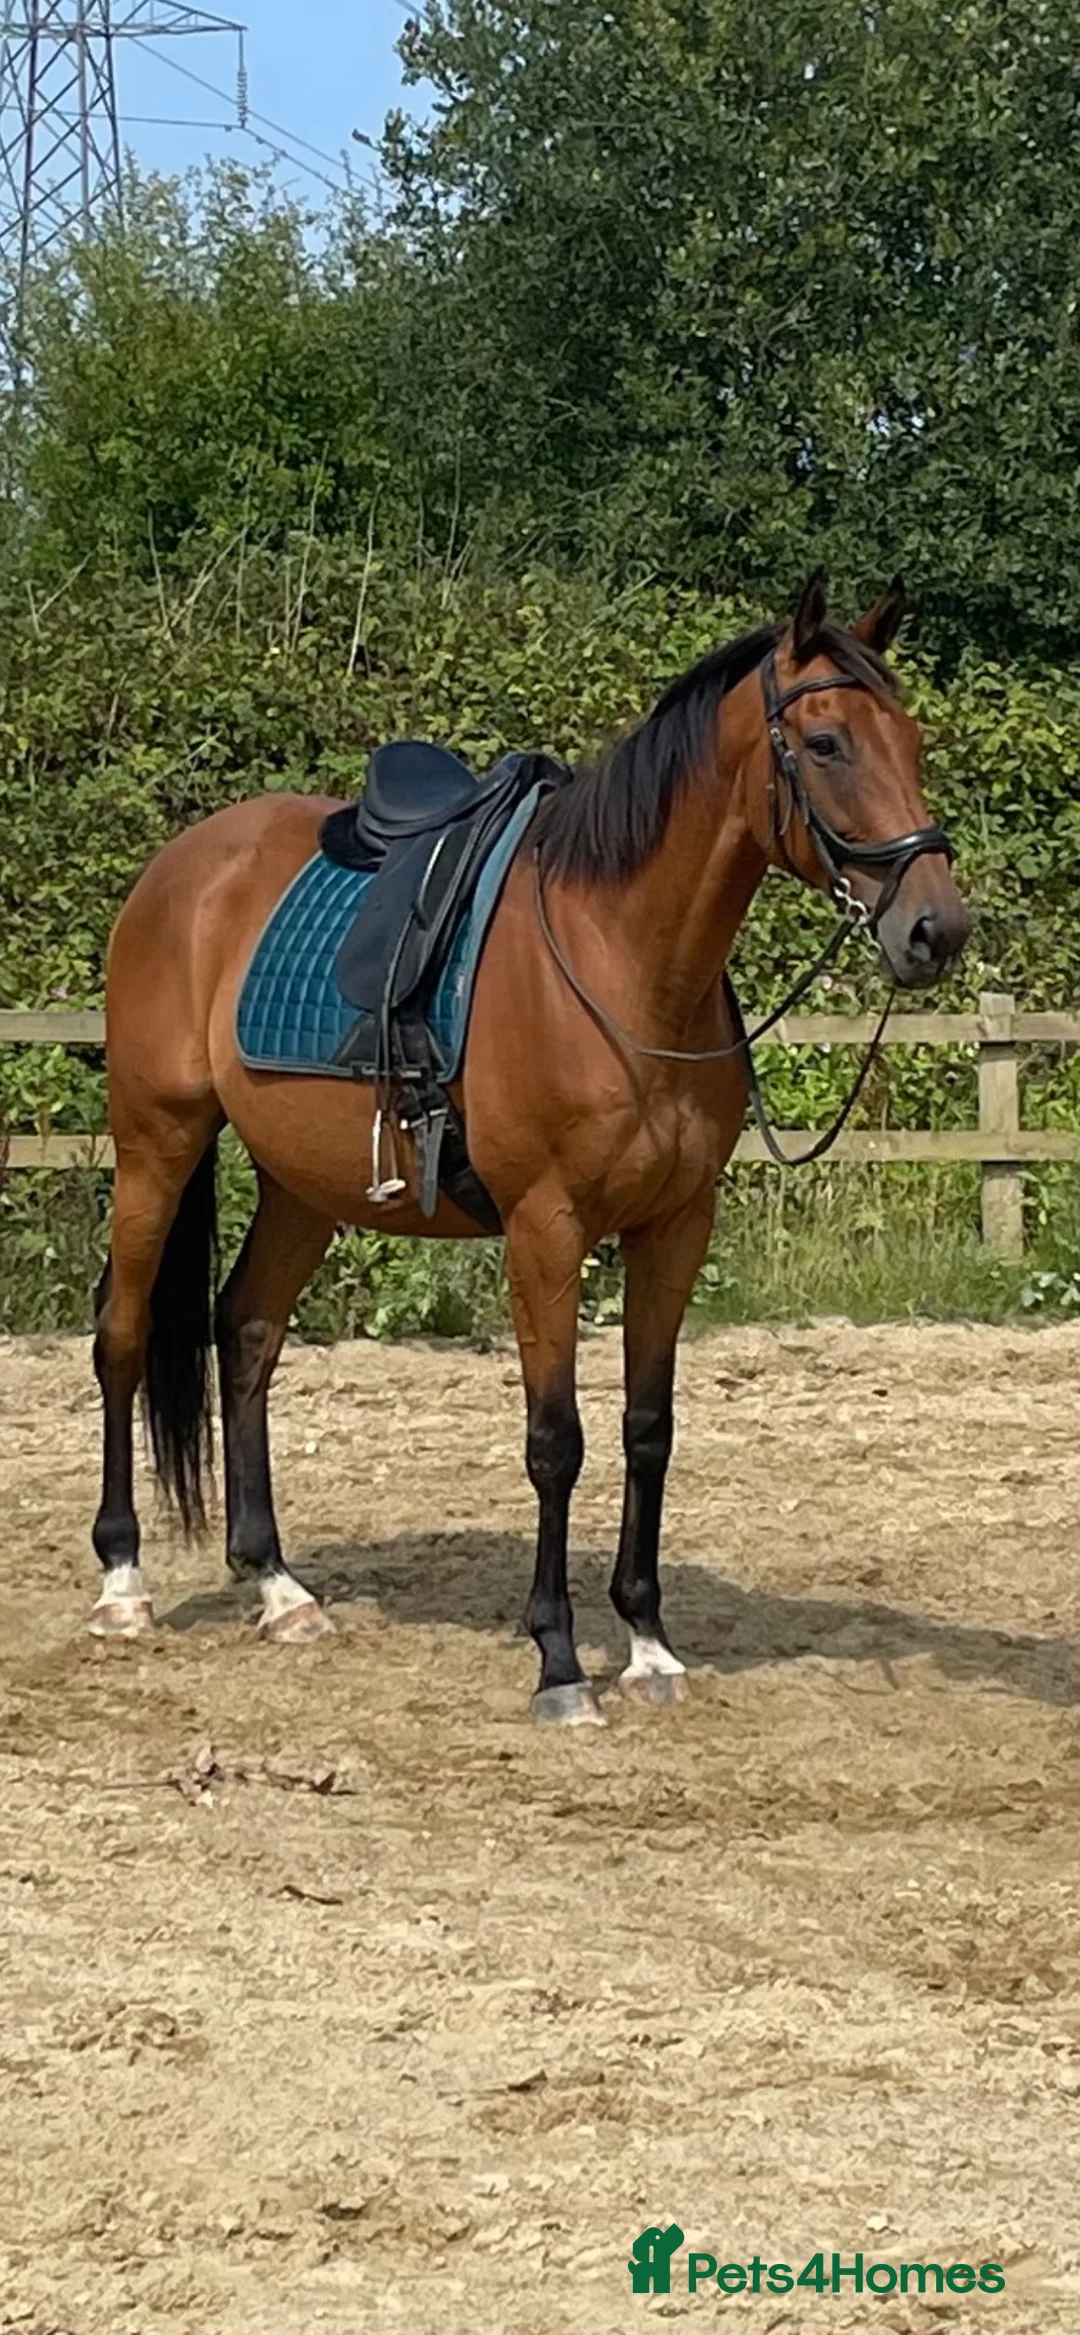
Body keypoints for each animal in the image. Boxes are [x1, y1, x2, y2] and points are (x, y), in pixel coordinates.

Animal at [88, 571, 970, 1723]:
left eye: (911, 740)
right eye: (825, 743)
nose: (935, 929)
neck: (623, 959)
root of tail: (180, 868)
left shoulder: (675, 1227)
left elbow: (648, 1426)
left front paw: (647, 1642)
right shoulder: (546, 1231)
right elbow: (558, 1441)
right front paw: (559, 1659)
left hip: (302, 1183)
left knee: (246, 1332)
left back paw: (278, 1586)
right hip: (157, 1140)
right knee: (123, 1331)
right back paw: (122, 1582)